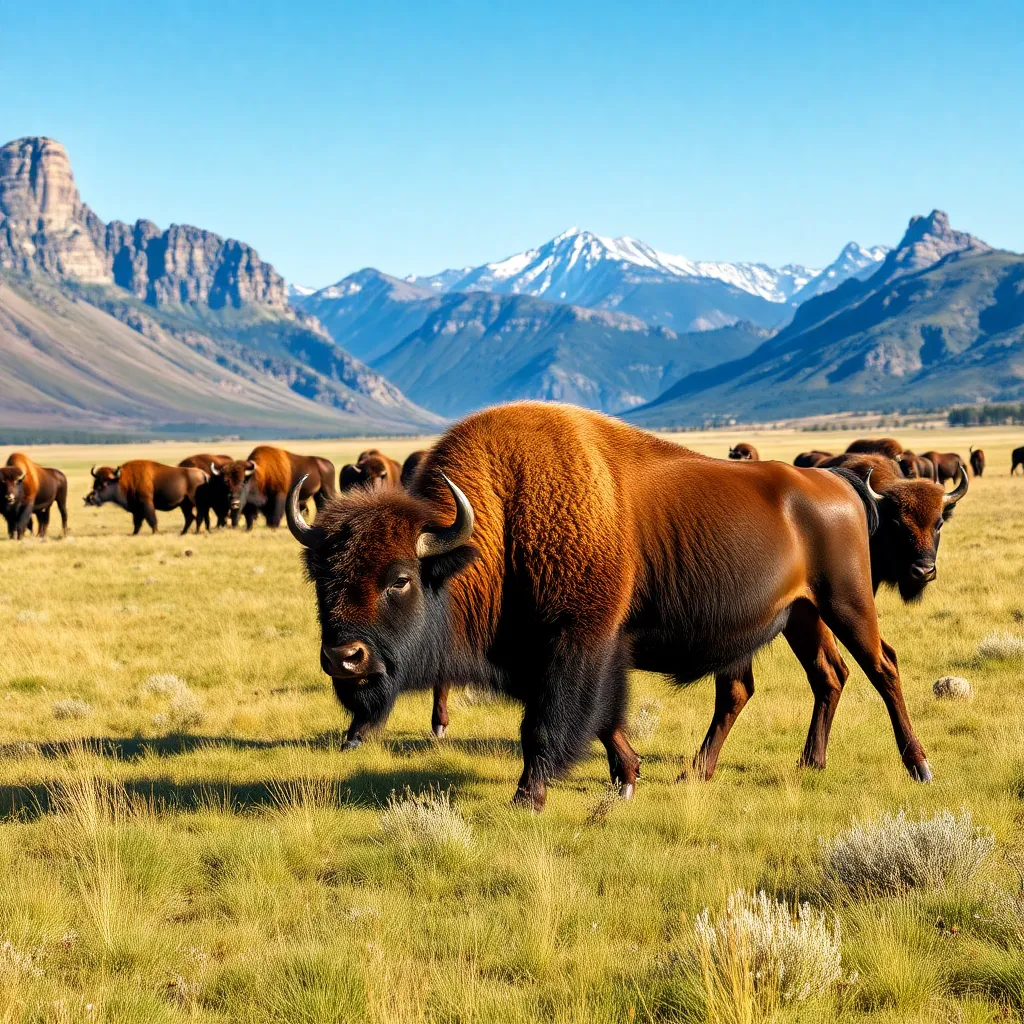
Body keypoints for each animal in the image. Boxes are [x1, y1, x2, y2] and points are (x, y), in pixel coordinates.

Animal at [290, 402, 934, 810]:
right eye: (320, 577)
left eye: (400, 579)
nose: (344, 658)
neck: (495, 527)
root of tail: (838, 484)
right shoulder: (557, 652)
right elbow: (601, 720)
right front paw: (627, 778)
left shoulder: (577, 641)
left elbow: (551, 721)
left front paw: (528, 796)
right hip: (801, 616)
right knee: (819, 677)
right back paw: (774, 766)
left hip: (846, 603)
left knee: (882, 667)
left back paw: (919, 767)